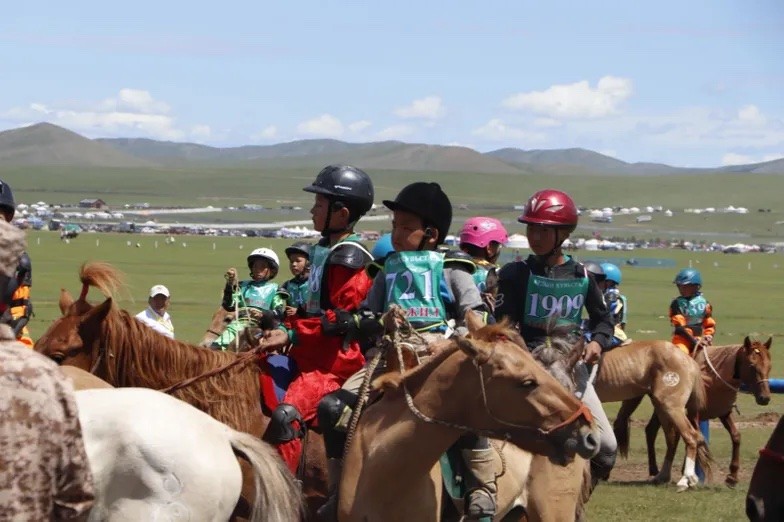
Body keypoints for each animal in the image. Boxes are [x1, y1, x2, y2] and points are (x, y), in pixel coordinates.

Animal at [596, 338, 712, 488]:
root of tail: (689, 360)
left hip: (672, 407)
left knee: (690, 436)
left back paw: (686, 479)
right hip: (661, 408)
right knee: (673, 439)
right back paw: (663, 476)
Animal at [616, 336, 776, 486]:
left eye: (769, 366)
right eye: (752, 365)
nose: (765, 398)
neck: (714, 376)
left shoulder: (723, 411)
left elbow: (735, 436)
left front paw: (732, 476)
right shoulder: (693, 413)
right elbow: (696, 437)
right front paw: (688, 473)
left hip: (663, 406)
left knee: (651, 430)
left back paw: (655, 470)